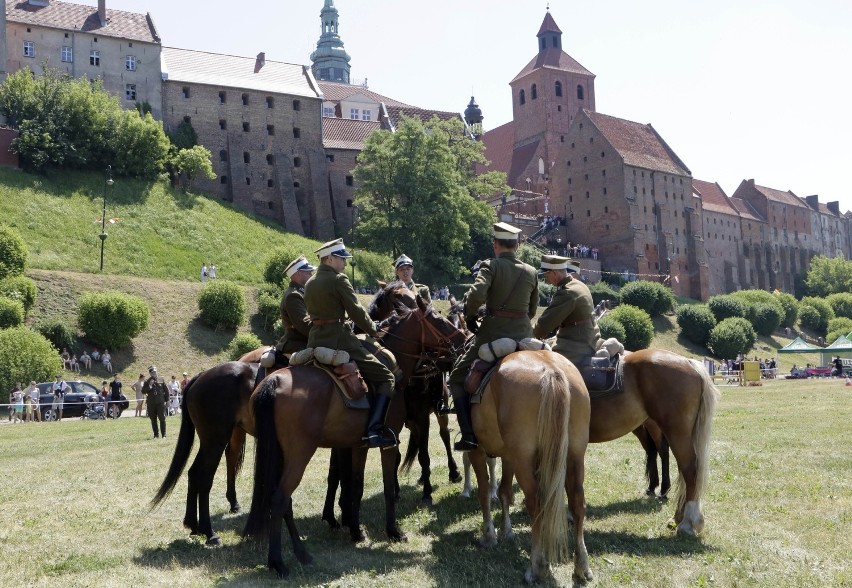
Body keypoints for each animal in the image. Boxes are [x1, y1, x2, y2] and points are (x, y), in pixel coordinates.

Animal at [243, 300, 470, 576]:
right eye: (439, 319)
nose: (466, 341)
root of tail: (273, 380)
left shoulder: (357, 444)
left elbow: (356, 485)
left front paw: (356, 530)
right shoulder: (388, 442)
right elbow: (385, 486)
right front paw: (393, 531)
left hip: (279, 454)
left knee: (283, 500)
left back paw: (302, 553)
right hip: (299, 455)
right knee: (279, 498)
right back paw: (279, 562)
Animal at [466, 350, 592, 584]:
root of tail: (551, 370)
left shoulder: (477, 451)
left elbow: (485, 492)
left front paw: (489, 535)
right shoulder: (508, 456)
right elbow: (504, 491)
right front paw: (507, 531)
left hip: (523, 459)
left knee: (536, 504)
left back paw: (537, 567)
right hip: (575, 455)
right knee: (577, 503)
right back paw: (582, 565)